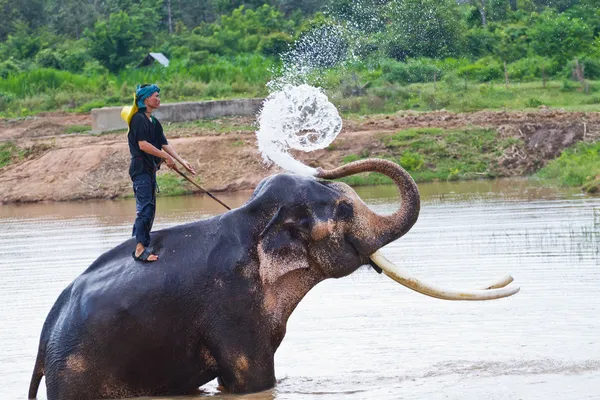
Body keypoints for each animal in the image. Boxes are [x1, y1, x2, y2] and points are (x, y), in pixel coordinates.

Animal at [27, 158, 516, 398]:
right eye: (344, 210)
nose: (324, 166)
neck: (252, 218)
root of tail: (45, 336)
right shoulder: (232, 308)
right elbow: (252, 381)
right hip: (78, 372)